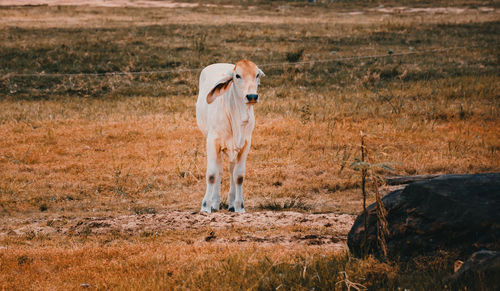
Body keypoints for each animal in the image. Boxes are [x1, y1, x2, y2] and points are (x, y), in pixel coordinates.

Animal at [196, 60, 266, 214]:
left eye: (257, 74)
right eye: (237, 75)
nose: (252, 96)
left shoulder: (245, 144)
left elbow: (238, 176)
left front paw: (239, 206)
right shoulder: (212, 142)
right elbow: (212, 175)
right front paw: (205, 206)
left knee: (231, 171)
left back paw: (231, 204)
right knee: (220, 171)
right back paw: (215, 203)